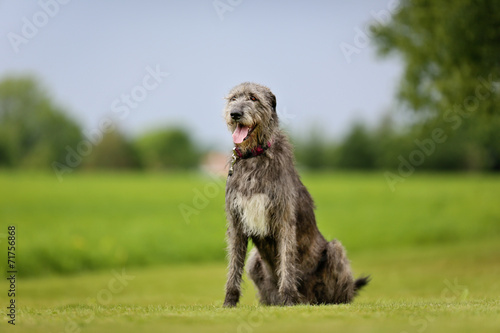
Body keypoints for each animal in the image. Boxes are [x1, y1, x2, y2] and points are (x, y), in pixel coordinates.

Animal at [223, 81, 368, 306]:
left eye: (253, 98)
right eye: (233, 99)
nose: (235, 113)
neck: (254, 156)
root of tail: (309, 299)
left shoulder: (284, 218)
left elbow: (287, 260)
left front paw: (289, 298)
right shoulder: (236, 221)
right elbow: (233, 264)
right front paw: (229, 302)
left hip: (335, 251)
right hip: (254, 261)